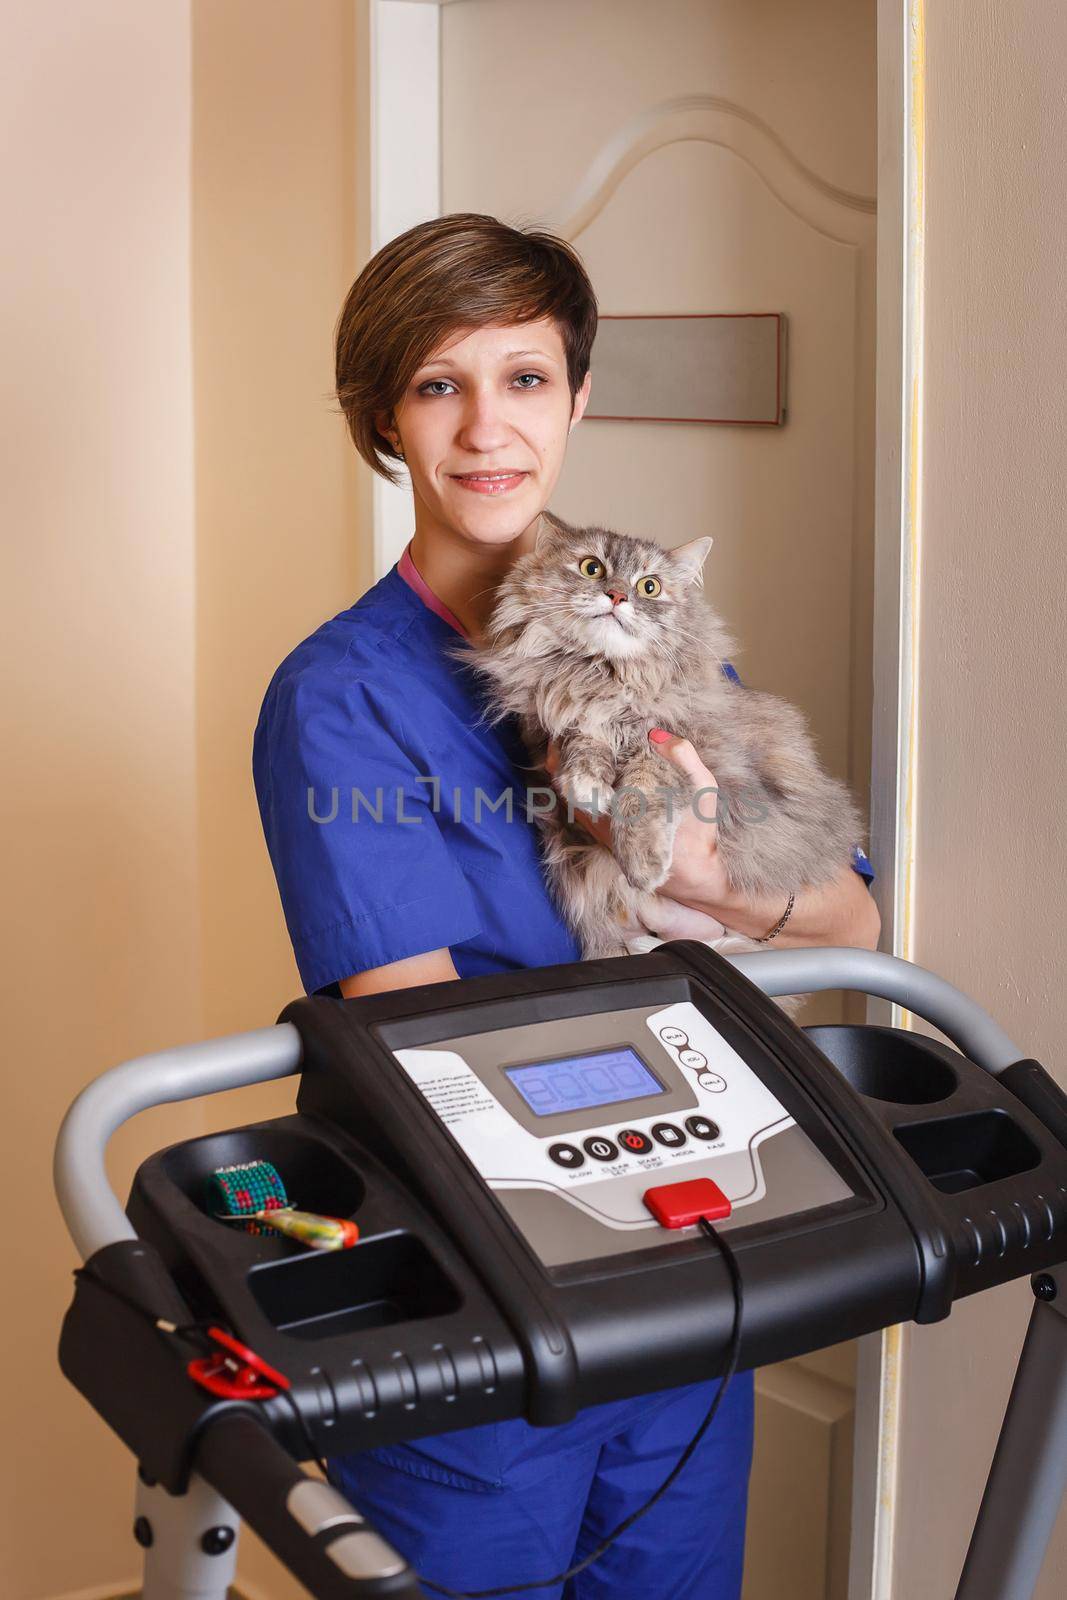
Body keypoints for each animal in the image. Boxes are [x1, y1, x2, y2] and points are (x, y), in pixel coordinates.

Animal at [454, 508, 863, 1011]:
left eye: (649, 587)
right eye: (592, 568)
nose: (617, 595)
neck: (602, 676)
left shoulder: (678, 745)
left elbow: (642, 795)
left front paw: (644, 863)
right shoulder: (554, 729)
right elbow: (583, 745)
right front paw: (587, 785)